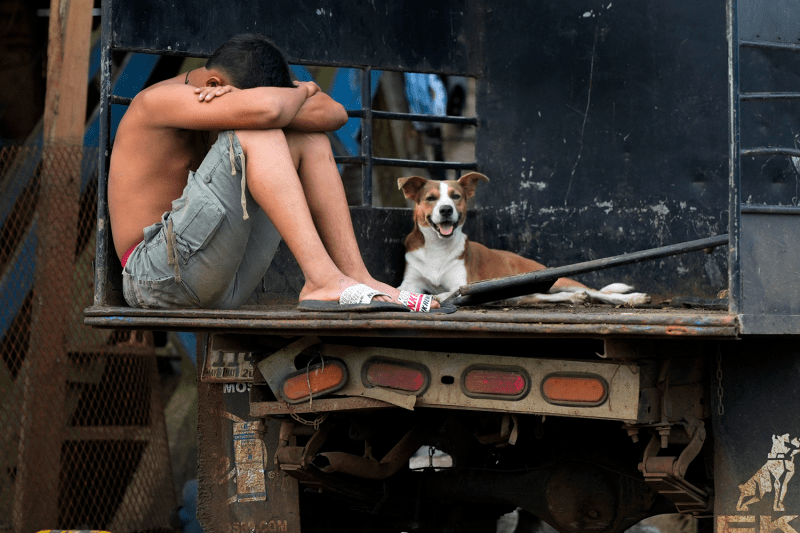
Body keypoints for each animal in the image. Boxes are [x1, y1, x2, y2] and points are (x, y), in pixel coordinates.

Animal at [396, 172, 652, 306]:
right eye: (431, 198)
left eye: (456, 196)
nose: (446, 209)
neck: (437, 248)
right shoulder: (409, 282)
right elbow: (404, 289)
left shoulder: (462, 284)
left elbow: (444, 293)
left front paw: (435, 297)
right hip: (523, 292)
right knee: (544, 296)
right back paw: (575, 297)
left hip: (554, 278)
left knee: (600, 292)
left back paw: (634, 298)